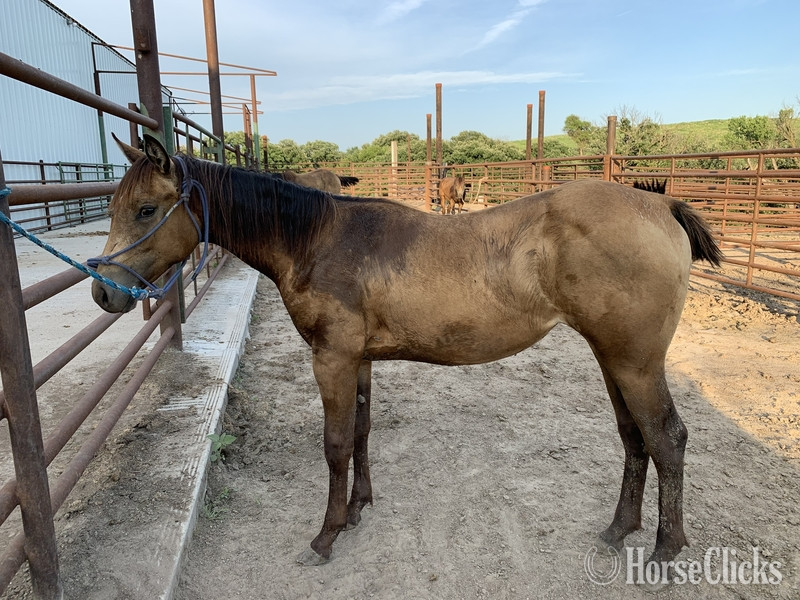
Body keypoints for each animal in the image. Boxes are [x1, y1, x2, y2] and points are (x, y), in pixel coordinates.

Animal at [91, 135, 722, 572]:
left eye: (146, 210)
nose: (103, 292)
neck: (315, 239)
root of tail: (661, 207)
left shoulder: (332, 360)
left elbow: (336, 444)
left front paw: (326, 535)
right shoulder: (359, 360)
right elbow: (363, 431)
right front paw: (359, 509)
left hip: (636, 364)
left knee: (667, 438)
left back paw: (665, 548)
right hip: (613, 359)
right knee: (634, 436)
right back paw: (620, 530)